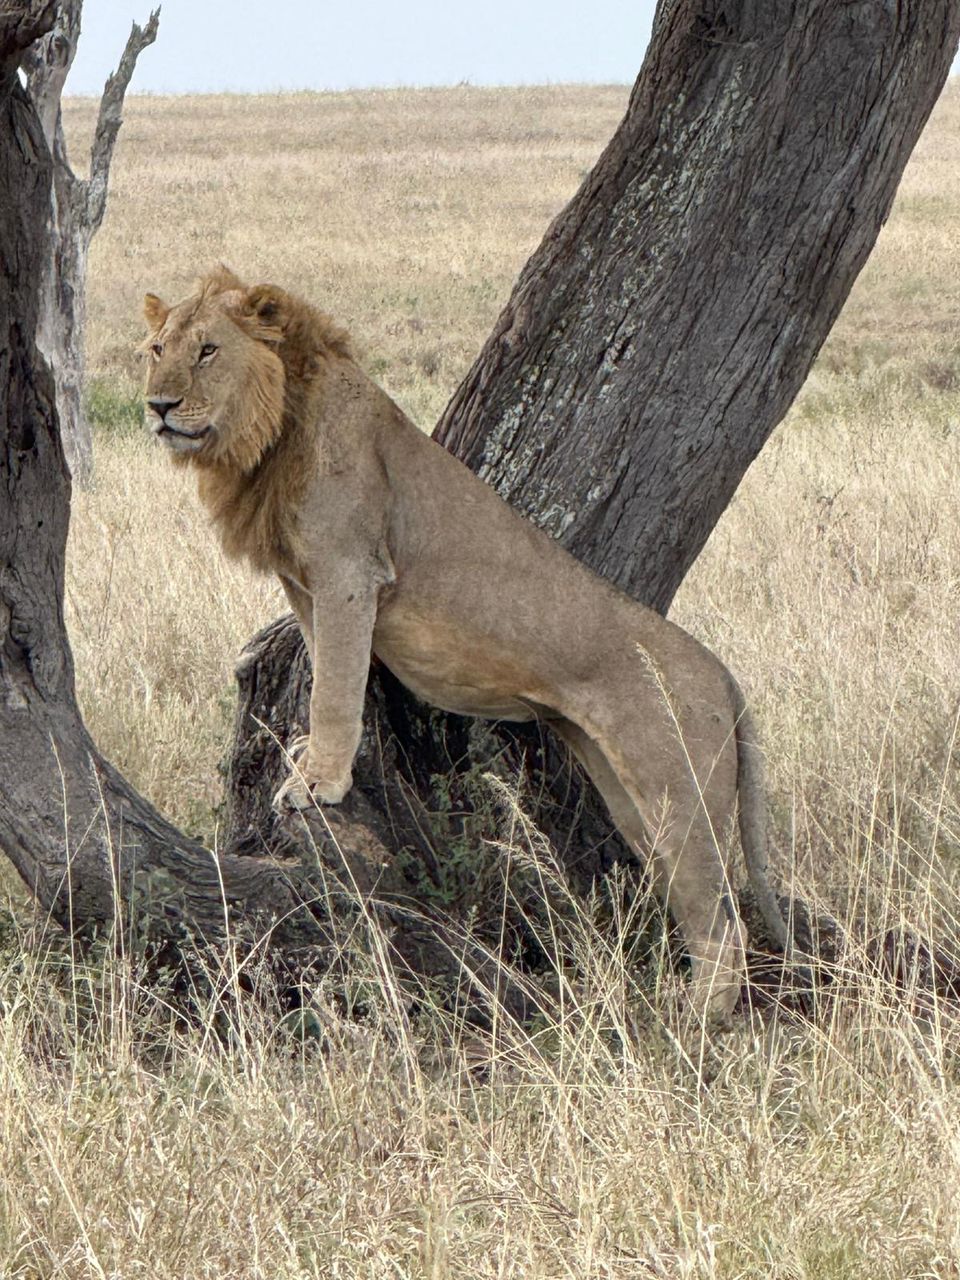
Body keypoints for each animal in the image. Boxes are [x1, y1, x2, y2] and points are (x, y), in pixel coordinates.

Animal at [141, 266, 788, 1019]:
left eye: (209, 350)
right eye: (157, 349)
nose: (158, 406)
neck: (273, 428)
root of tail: (722, 674)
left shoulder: (349, 571)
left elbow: (336, 685)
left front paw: (318, 783)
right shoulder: (307, 584)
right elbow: (326, 665)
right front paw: (307, 757)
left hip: (677, 789)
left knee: (723, 921)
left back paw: (690, 1022)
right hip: (630, 794)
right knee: (691, 898)